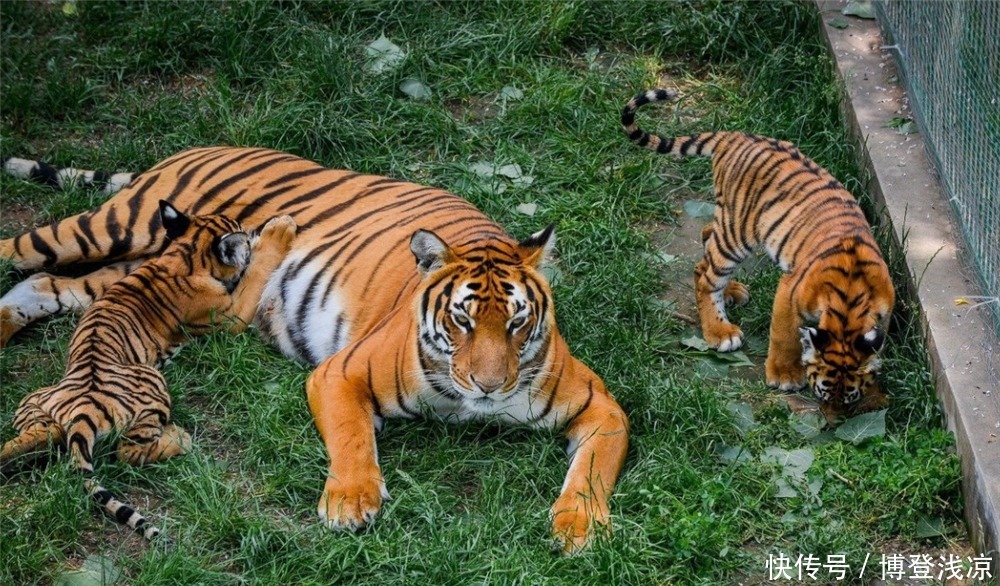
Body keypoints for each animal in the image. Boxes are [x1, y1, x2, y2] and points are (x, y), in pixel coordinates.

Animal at [0, 202, 296, 540]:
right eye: (244, 236)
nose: (254, 230)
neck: (185, 253)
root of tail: (83, 410)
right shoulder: (230, 316)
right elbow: (255, 276)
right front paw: (280, 230)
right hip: (154, 384)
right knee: (127, 452)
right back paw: (180, 438)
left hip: (33, 401)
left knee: (42, 433)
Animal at [620, 88, 896, 420]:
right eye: (822, 392)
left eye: (850, 398)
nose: (831, 422)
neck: (851, 305)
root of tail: (736, 136)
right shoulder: (791, 290)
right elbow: (783, 335)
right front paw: (784, 375)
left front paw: (877, 394)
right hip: (737, 232)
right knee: (706, 275)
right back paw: (720, 331)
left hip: (727, 224)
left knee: (706, 240)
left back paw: (731, 292)